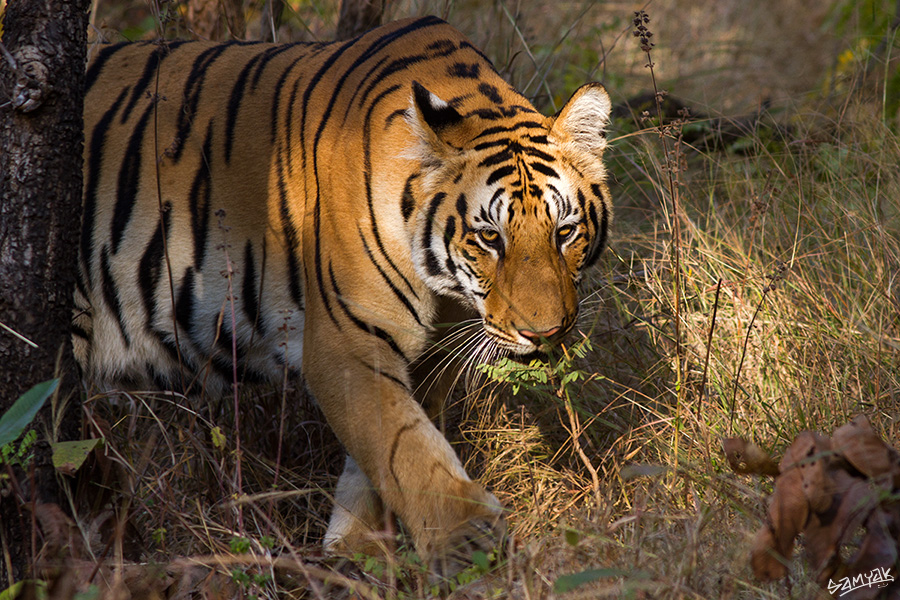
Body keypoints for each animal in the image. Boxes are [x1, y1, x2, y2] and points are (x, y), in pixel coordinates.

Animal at [75, 15, 612, 576]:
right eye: (489, 237)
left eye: (565, 232)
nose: (543, 332)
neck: (443, 286)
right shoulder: (345, 341)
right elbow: (401, 442)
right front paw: (463, 542)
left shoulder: (430, 352)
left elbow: (395, 443)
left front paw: (358, 548)